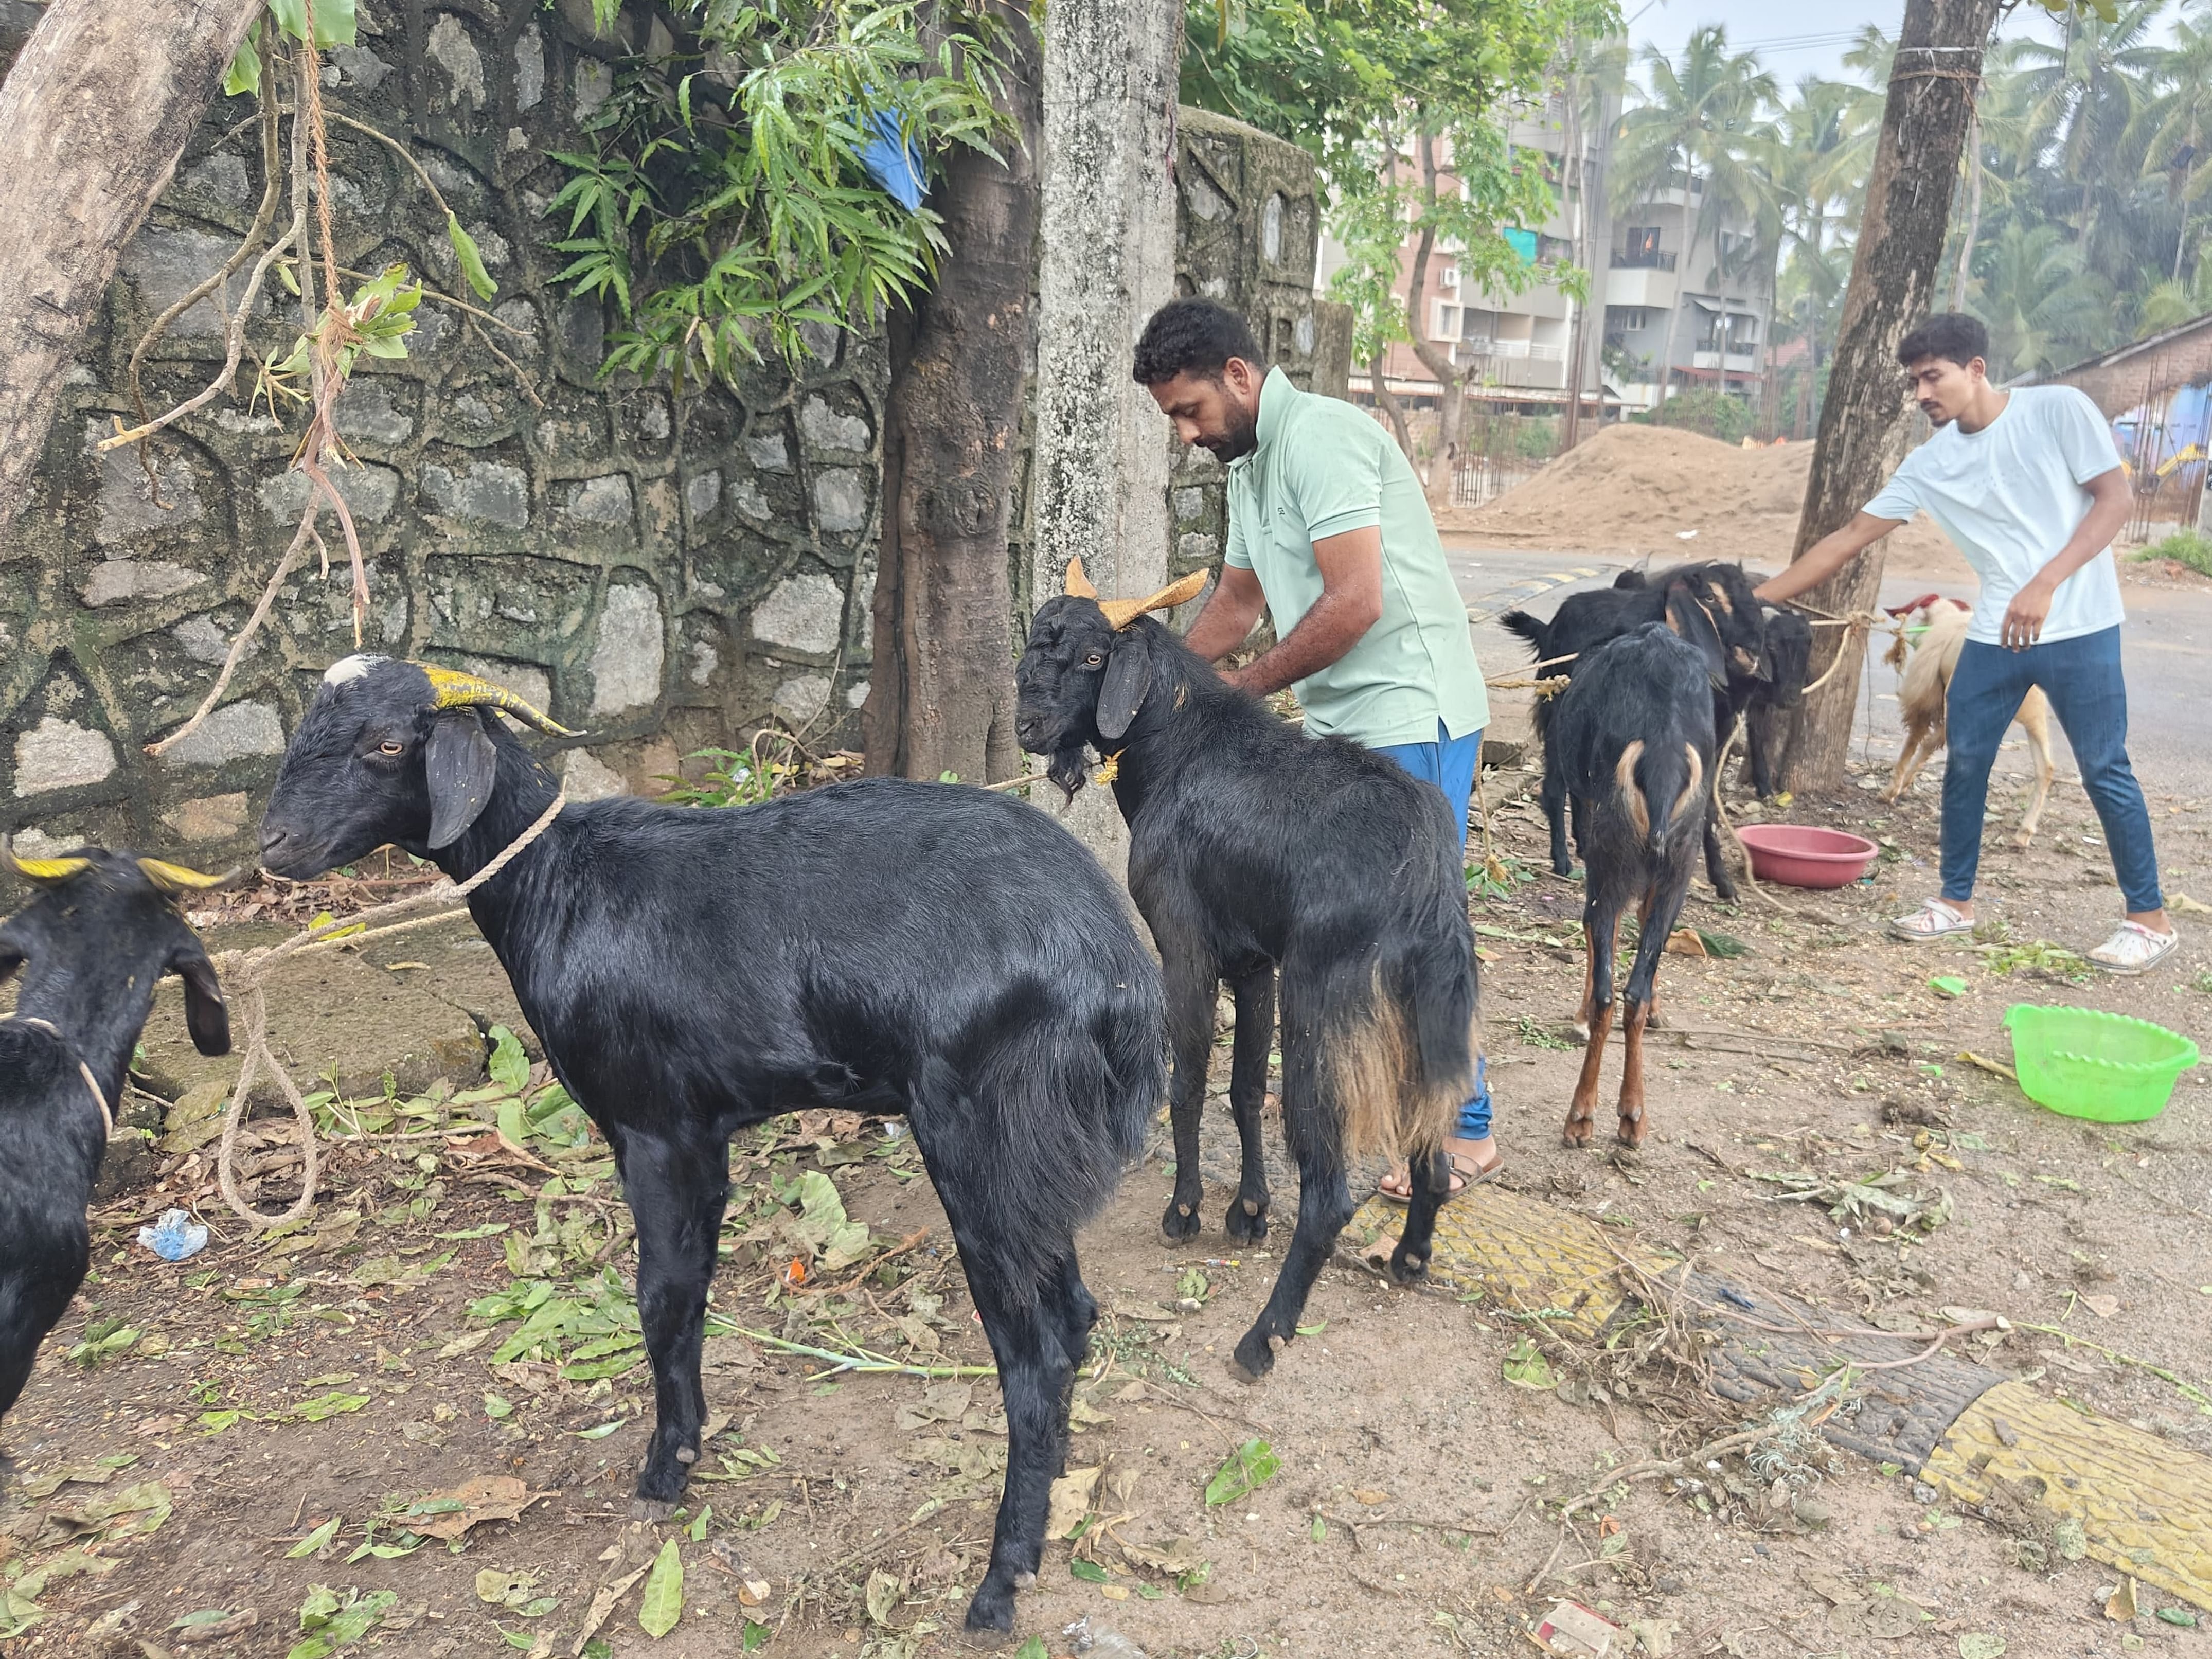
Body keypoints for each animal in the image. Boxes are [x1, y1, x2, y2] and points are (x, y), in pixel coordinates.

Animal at [1013, 579, 1469, 1380]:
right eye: (1037, 644)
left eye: (1095, 656)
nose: (1027, 723)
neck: (1177, 752)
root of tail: (1426, 875)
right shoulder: (1255, 966)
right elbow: (1247, 1086)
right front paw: (1248, 1211)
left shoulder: (1186, 949)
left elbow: (1189, 1081)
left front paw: (1186, 1211)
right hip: (1423, 1018)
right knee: (1432, 1154)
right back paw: (1411, 1259)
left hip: (1324, 1013)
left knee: (1328, 1198)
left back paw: (1263, 1339)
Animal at [1504, 559, 1760, 898]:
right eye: (1709, 598)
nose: (1753, 650)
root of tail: (1552, 625)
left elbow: (1709, 814)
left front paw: (1724, 884)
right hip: (1558, 712)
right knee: (1556, 787)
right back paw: (1563, 861)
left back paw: (1583, 844)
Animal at [1548, 619, 1716, 1150]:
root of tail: (1662, 753)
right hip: (1676, 858)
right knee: (1631, 988)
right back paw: (1628, 1116)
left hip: (1612, 847)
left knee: (1611, 980)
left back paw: (1585, 1117)